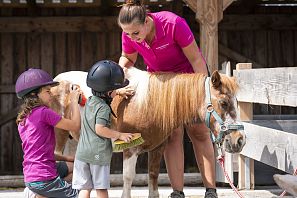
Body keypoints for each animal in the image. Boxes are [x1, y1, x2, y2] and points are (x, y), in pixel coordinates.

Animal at [50, 67, 245, 197]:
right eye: (223, 103)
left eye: (237, 102)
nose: (239, 141)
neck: (148, 103)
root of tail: (55, 82)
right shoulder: (130, 149)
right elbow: (128, 178)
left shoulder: (157, 149)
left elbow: (153, 177)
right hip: (59, 138)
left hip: (74, 143)